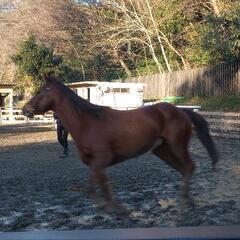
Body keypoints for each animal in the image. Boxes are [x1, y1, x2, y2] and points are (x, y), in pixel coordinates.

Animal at [22, 74, 218, 216]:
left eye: (41, 91)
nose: (25, 110)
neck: (88, 122)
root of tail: (181, 111)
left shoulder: (100, 161)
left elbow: (95, 190)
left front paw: (118, 211)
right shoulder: (96, 165)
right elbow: (98, 190)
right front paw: (116, 211)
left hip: (177, 146)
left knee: (189, 167)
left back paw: (185, 204)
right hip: (162, 150)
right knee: (184, 170)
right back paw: (188, 202)